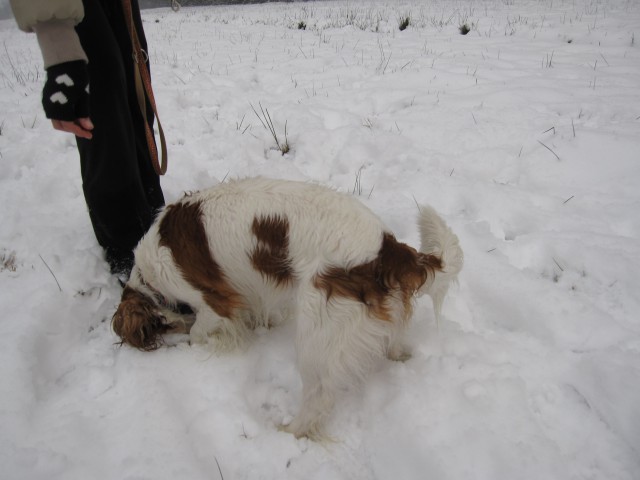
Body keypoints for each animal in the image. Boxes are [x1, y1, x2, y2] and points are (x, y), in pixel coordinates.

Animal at [112, 176, 462, 438]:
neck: (149, 274)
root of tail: (387, 248)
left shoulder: (215, 302)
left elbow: (200, 331)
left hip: (319, 330)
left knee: (319, 395)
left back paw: (291, 431)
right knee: (394, 338)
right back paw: (398, 355)